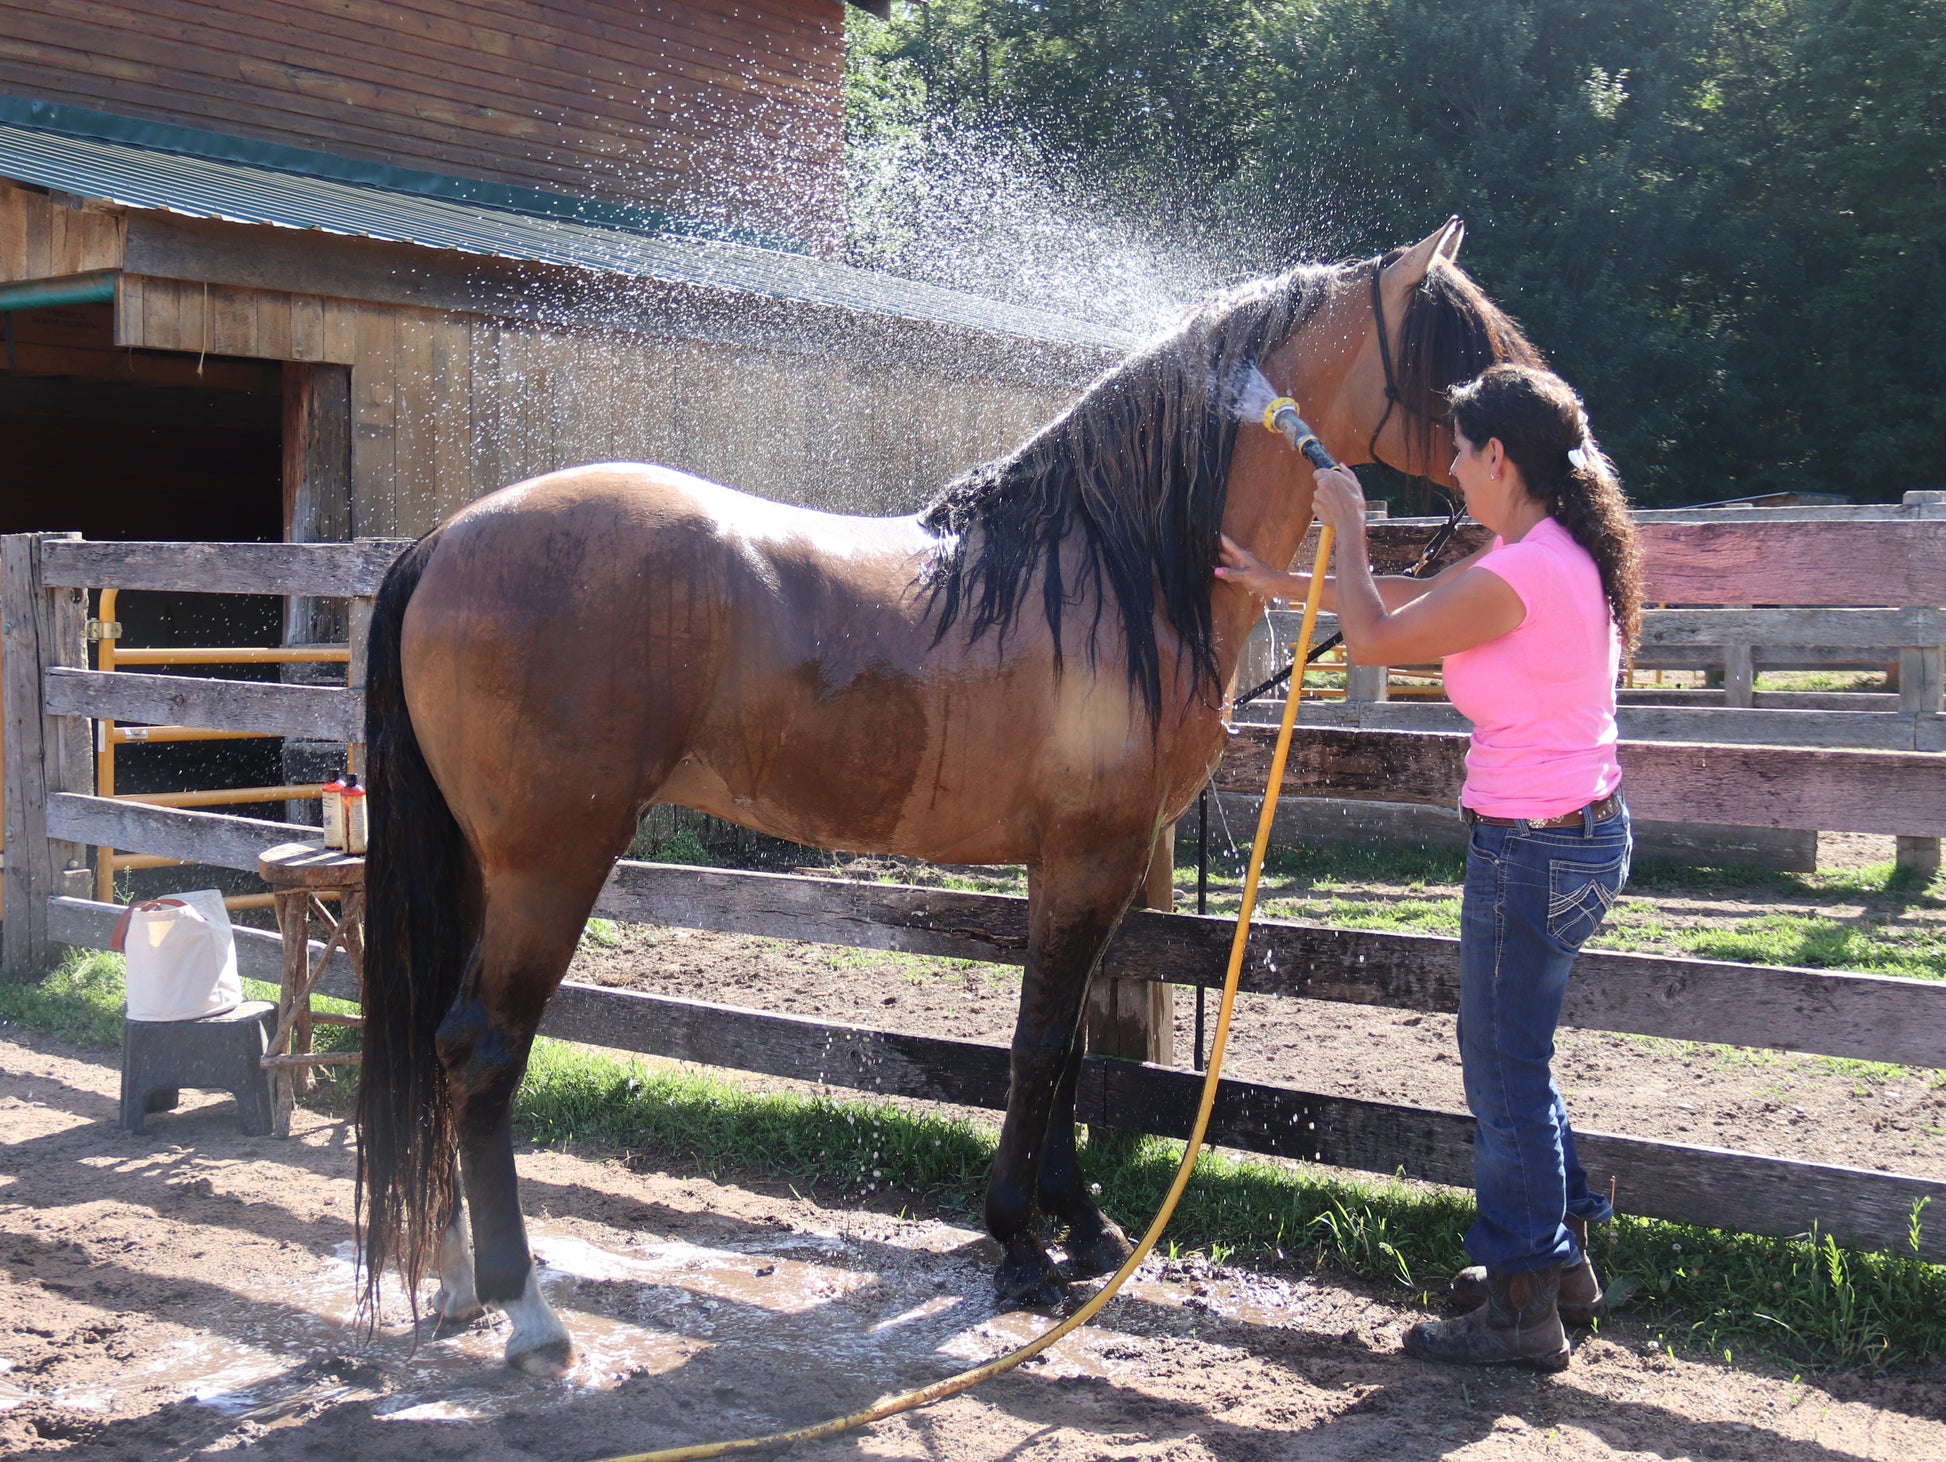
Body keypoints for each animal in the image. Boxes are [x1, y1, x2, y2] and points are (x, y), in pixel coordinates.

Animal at [350, 217, 1533, 1370]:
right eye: (1463, 362)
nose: (1552, 469)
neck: (1112, 566)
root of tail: (447, 538)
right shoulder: (1091, 856)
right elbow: (1041, 1047)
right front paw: (1018, 1243)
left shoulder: (1078, 863)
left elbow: (1061, 1049)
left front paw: (1078, 1224)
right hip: (551, 863)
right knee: (482, 1051)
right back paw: (524, 1308)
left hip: (481, 866)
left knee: (438, 1042)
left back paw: (453, 1276)